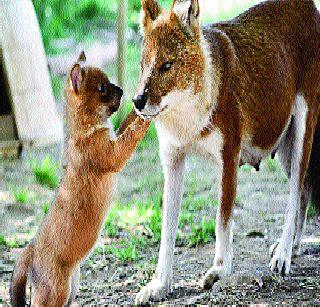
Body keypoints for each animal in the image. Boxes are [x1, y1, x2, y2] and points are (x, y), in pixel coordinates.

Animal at [10, 51, 150, 306]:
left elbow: (126, 122)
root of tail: (30, 248)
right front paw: (146, 119)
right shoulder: (112, 155)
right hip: (56, 291)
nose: (122, 89)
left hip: (71, 288)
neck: (85, 126)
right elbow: (131, 133)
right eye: (102, 88)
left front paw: (138, 108)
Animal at [132, 0, 320, 304]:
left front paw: (220, 269)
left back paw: (283, 255)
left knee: (294, 195)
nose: (137, 101)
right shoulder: (172, 160)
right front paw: (159, 284)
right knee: (303, 190)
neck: (189, 117)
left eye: (166, 65)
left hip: (304, 129)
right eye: (143, 65)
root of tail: (306, 6)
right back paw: (291, 246)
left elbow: (223, 219)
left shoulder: (228, 157)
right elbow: (166, 230)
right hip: (284, 147)